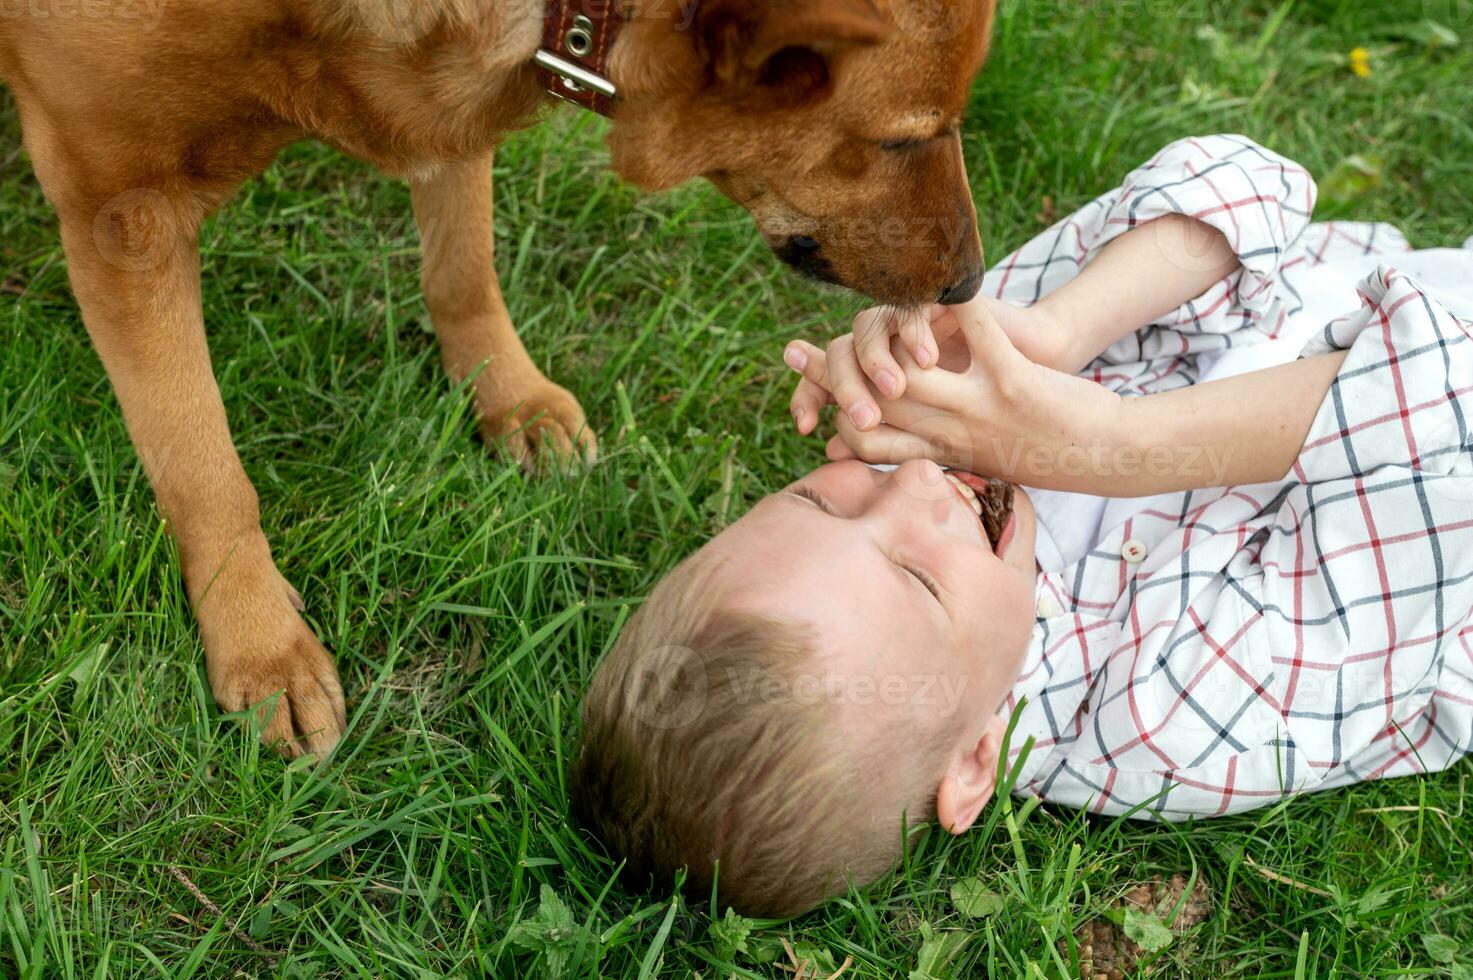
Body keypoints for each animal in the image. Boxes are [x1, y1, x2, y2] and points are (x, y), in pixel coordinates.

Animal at [0, 0, 995, 748]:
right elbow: (203, 469)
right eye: (904, 140)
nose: (968, 284)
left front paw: (508, 400)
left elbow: (462, 267)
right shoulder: (123, 215)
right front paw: (258, 643)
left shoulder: (441, 105)